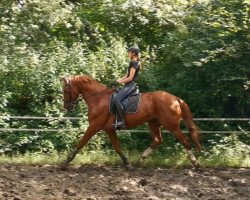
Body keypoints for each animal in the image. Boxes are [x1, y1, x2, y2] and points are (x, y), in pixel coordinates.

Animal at [61, 74, 202, 168]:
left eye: (66, 90)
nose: (67, 107)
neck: (98, 99)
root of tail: (175, 98)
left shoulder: (94, 126)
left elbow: (81, 142)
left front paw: (66, 161)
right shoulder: (109, 129)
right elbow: (118, 147)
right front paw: (127, 163)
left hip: (172, 126)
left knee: (185, 141)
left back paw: (195, 163)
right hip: (153, 123)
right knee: (158, 140)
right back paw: (140, 160)